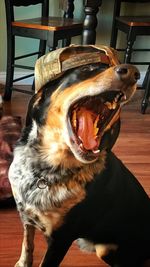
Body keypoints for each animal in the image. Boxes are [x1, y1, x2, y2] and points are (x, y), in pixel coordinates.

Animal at [8, 45, 150, 266]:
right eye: (88, 69)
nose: (133, 72)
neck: (44, 171)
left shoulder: (61, 239)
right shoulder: (26, 215)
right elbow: (27, 244)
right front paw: (22, 262)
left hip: (107, 250)